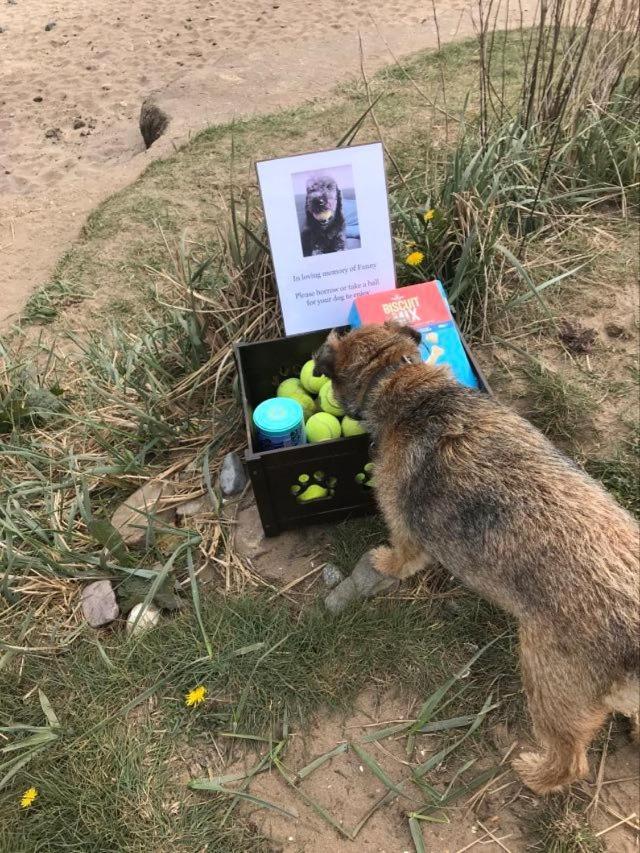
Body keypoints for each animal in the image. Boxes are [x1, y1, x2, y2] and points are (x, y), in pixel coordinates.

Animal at [316, 320, 640, 792]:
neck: (408, 385)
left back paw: (534, 774)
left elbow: (404, 555)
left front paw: (385, 563)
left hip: (549, 684)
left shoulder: (402, 520)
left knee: (571, 761)